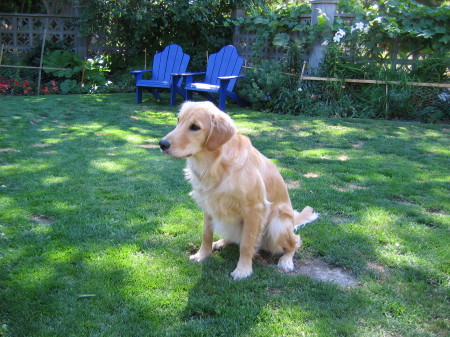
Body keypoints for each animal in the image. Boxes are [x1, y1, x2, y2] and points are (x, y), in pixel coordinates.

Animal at [160, 101, 318, 280]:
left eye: (195, 127)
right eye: (178, 120)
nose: (162, 144)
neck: (215, 164)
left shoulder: (254, 209)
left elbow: (246, 244)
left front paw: (243, 270)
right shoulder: (209, 204)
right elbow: (206, 234)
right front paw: (202, 255)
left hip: (277, 224)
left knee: (294, 242)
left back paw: (286, 261)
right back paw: (221, 242)